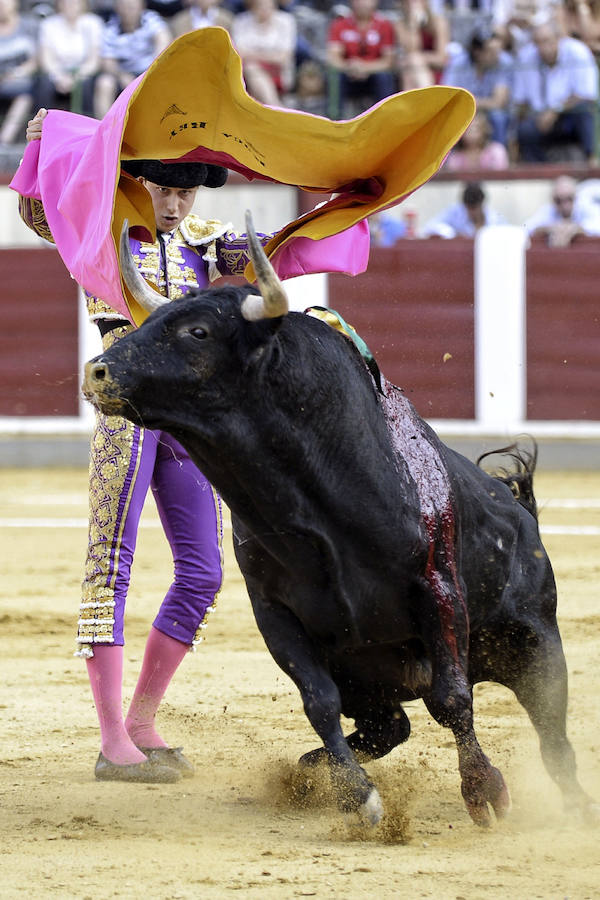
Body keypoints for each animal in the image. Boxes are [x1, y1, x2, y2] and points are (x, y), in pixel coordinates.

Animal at [82, 284, 592, 828]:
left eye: (197, 331)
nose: (97, 371)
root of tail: (520, 508)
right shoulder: (274, 613)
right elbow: (319, 702)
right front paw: (357, 795)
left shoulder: (438, 586)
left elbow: (453, 699)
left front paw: (484, 793)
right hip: (369, 681)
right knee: (390, 728)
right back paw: (309, 771)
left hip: (537, 647)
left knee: (553, 737)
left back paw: (576, 807)